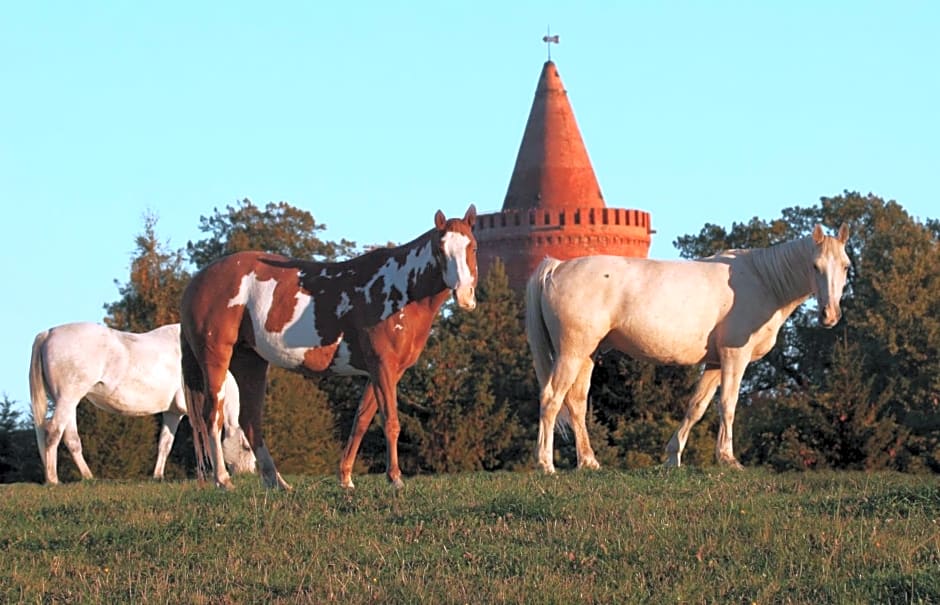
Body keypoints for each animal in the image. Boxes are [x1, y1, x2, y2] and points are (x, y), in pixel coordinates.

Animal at [29, 324, 258, 484]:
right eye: (247, 446)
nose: (250, 473)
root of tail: (48, 334)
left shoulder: (173, 413)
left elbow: (165, 443)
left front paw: (158, 476)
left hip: (69, 403)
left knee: (71, 439)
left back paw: (87, 476)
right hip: (67, 399)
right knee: (52, 433)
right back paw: (53, 479)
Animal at [181, 205, 478, 488]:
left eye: (472, 246)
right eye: (440, 249)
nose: (465, 295)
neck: (401, 288)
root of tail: (197, 281)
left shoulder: (383, 372)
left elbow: (361, 421)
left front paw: (346, 478)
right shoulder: (383, 366)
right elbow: (390, 422)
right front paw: (394, 478)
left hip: (250, 361)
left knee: (250, 421)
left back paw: (277, 482)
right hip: (216, 358)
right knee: (213, 415)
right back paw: (223, 480)